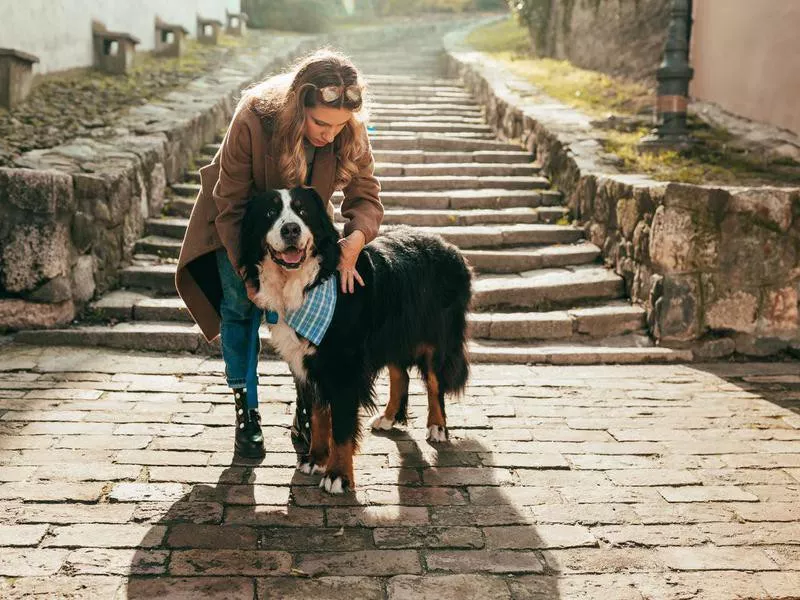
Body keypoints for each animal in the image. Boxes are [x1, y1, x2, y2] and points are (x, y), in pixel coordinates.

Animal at [241, 186, 472, 492]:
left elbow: (340, 426)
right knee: (400, 375)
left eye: (303, 211)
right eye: (270, 212)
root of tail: (450, 247)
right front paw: (315, 459)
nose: (291, 229)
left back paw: (437, 427)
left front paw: (337, 475)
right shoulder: (308, 364)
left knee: (434, 383)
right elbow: (318, 415)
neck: (309, 282)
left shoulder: (343, 365)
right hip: (391, 334)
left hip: (436, 336)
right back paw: (388, 418)